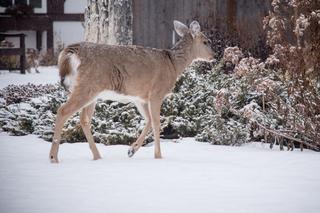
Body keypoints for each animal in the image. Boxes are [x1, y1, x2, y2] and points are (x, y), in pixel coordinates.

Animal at [49, 20, 212, 163]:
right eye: (206, 41)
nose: (214, 55)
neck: (173, 64)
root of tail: (69, 53)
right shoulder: (157, 92)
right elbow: (157, 122)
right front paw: (158, 156)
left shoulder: (140, 97)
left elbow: (148, 120)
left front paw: (131, 150)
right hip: (87, 86)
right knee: (63, 111)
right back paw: (53, 157)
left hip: (91, 93)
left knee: (84, 119)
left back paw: (97, 156)